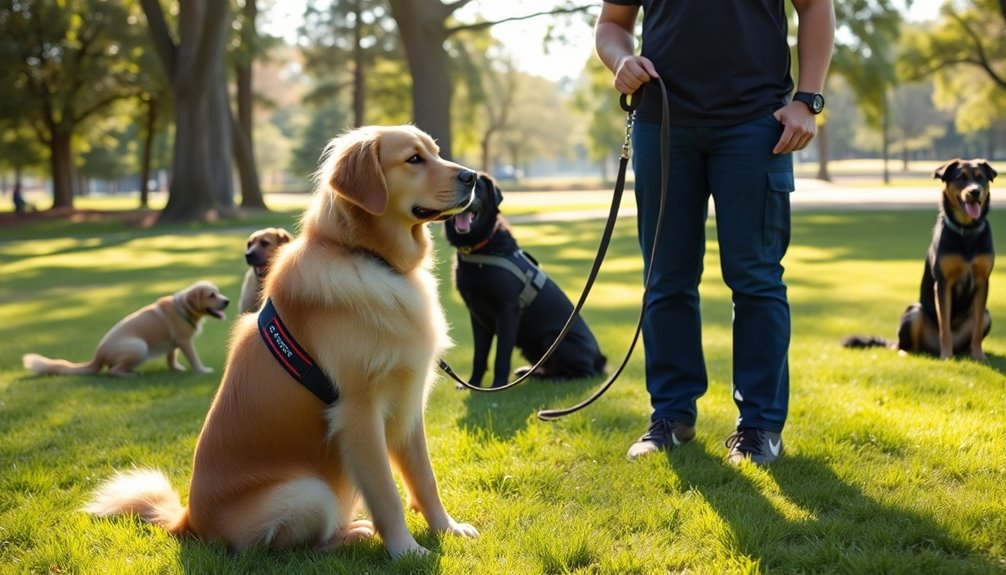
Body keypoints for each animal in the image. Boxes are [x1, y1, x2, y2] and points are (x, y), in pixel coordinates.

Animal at [23, 279, 228, 377]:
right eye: (211, 295)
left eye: (218, 292)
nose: (227, 301)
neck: (182, 308)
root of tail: (97, 356)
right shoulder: (185, 341)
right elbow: (194, 358)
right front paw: (202, 370)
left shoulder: (173, 343)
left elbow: (171, 357)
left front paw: (176, 369)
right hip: (139, 347)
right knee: (112, 371)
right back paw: (131, 374)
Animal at [446, 174, 603, 388]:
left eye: (478, 187)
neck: (480, 250)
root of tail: (600, 359)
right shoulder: (477, 316)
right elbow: (479, 356)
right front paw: (472, 384)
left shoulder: (508, 310)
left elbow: (501, 355)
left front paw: (498, 386)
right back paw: (532, 373)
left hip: (552, 339)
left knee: (587, 373)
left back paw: (557, 379)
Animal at [841, 158, 997, 359]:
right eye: (960, 178)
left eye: (981, 178)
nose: (975, 191)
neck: (966, 231)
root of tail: (931, 349)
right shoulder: (943, 283)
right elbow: (944, 325)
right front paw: (947, 356)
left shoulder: (982, 282)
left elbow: (976, 327)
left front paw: (978, 355)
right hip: (913, 313)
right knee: (907, 346)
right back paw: (914, 353)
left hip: (987, 315)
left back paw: (965, 352)